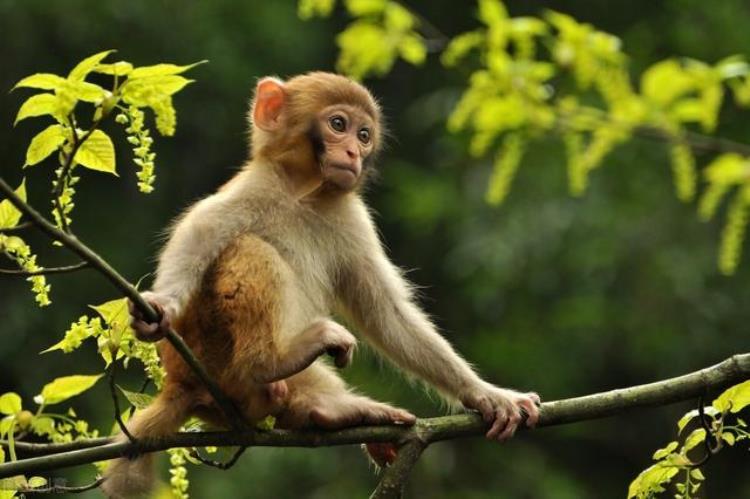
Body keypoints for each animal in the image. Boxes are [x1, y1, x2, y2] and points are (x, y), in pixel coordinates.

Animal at [101, 72, 540, 498]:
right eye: (338, 125)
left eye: (364, 135)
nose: (354, 154)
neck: (304, 193)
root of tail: (181, 383)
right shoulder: (257, 186)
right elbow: (202, 230)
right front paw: (163, 304)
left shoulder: (351, 217)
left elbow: (386, 314)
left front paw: (486, 394)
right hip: (210, 352)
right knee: (248, 247)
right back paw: (268, 363)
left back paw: (326, 411)